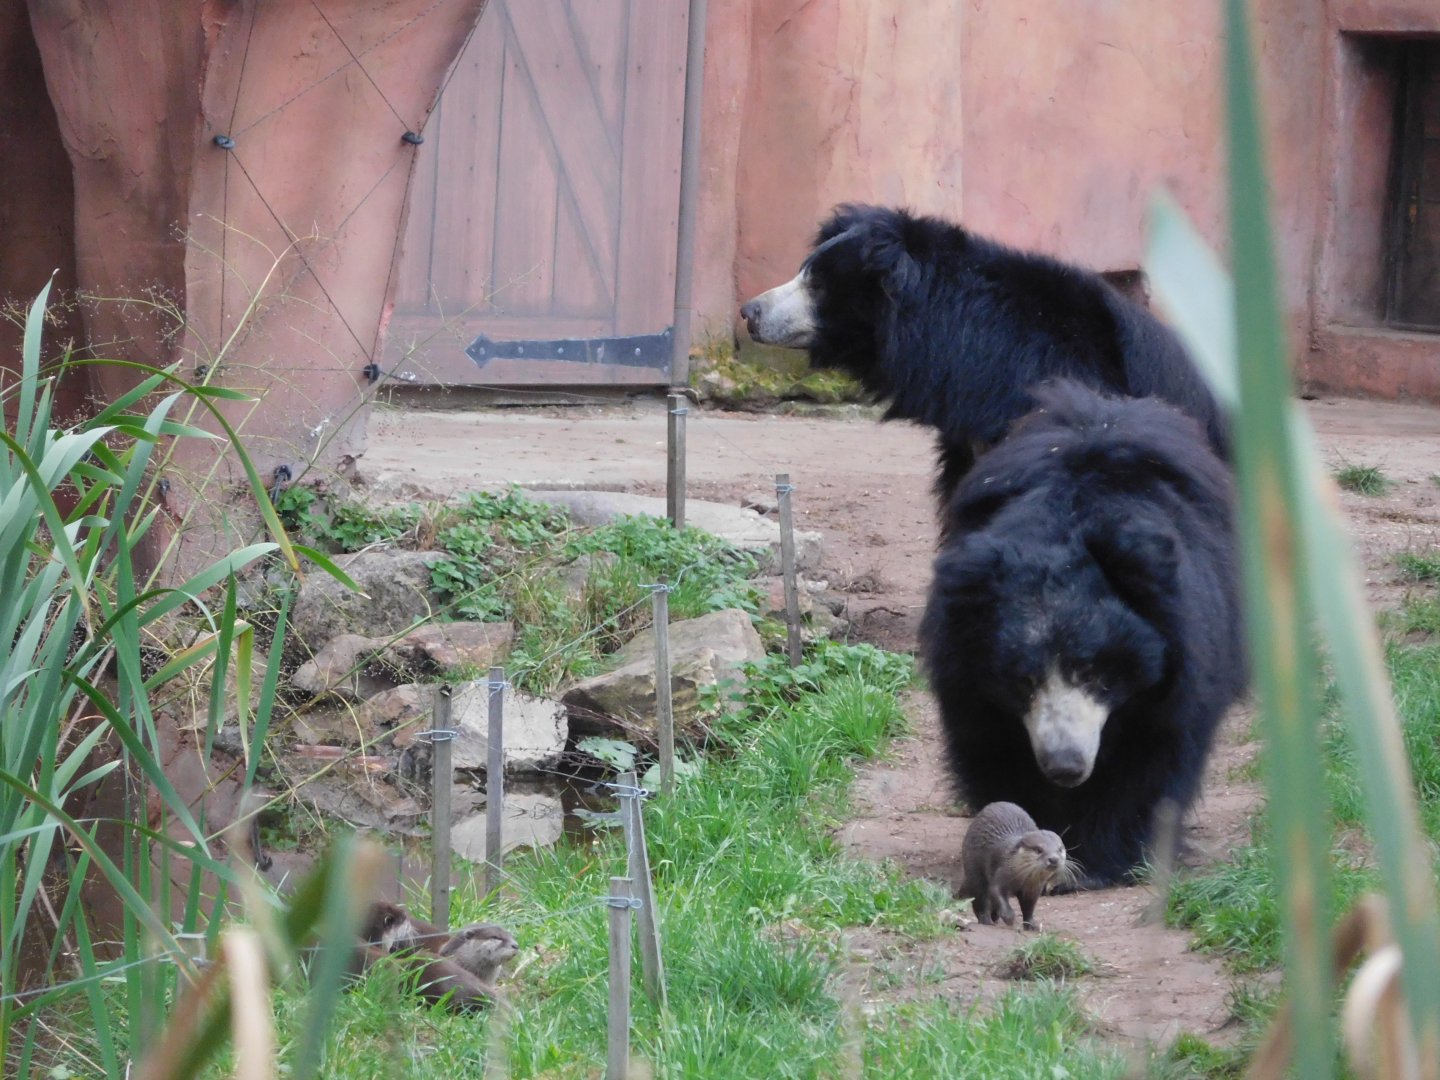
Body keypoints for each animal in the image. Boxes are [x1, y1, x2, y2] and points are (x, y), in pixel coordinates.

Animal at [918, 380, 1245, 888]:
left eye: (1095, 675)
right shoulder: (968, 680)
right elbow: (995, 751)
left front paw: (1102, 862)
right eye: (1022, 681)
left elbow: (1151, 756)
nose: (1065, 766)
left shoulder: (1181, 662)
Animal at [958, 801, 1069, 931]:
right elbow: (996, 890)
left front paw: (1031, 925)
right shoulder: (1002, 871)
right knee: (980, 898)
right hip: (974, 870)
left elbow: (1029, 907)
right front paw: (1008, 916)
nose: (1053, 859)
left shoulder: (1033, 889)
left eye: (1060, 849)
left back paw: (994, 917)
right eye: (1038, 850)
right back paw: (986, 920)